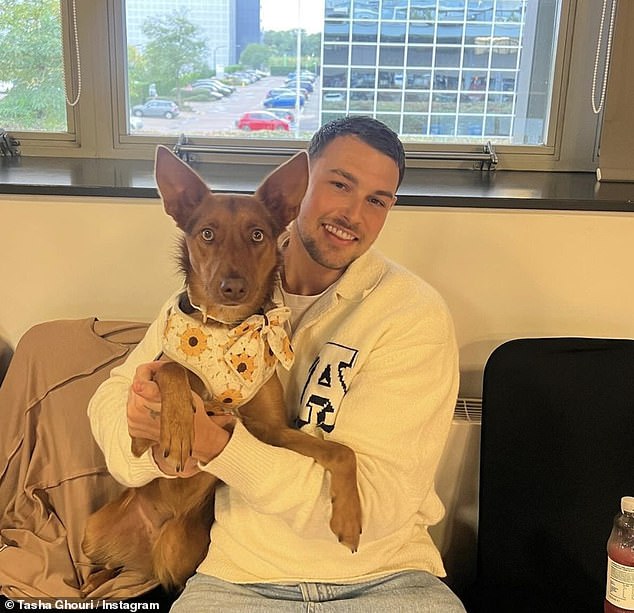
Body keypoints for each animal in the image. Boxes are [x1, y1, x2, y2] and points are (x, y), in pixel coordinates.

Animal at [80, 147, 360, 592]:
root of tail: (144, 552)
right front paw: (178, 431)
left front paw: (349, 515)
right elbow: (175, 371)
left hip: (177, 548)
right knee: (101, 567)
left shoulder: (267, 430)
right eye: (207, 234)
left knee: (144, 574)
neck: (229, 331)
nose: (233, 287)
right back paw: (92, 583)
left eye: (258, 235)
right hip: (93, 528)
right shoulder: (155, 375)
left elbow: (340, 451)